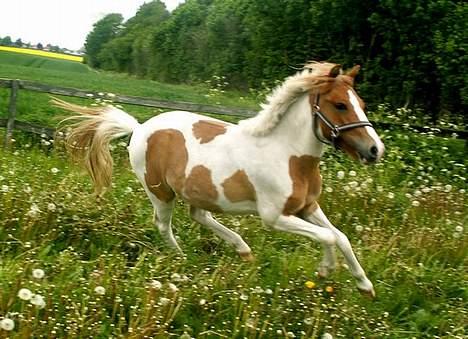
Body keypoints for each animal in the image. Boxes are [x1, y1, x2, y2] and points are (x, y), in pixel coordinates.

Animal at [54, 61, 384, 298]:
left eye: (362, 103)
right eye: (340, 105)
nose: (375, 150)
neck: (287, 155)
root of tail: (139, 127)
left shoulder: (308, 207)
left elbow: (341, 237)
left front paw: (365, 287)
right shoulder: (275, 217)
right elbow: (329, 237)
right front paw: (325, 270)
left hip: (199, 191)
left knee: (199, 215)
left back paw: (243, 250)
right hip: (160, 192)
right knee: (163, 224)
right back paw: (183, 259)